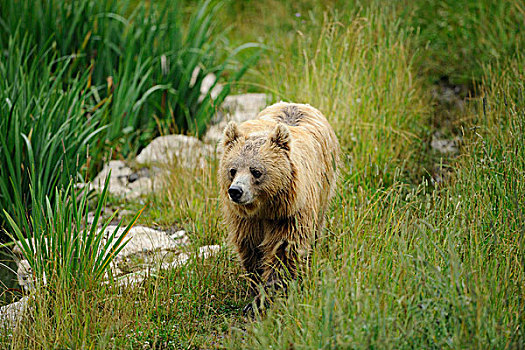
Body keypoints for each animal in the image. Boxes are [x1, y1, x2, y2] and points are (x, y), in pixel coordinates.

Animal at [218, 102, 338, 312]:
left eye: (256, 171)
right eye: (232, 170)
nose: (235, 191)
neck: (265, 207)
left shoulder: (290, 214)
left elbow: (283, 249)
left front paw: (266, 296)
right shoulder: (245, 220)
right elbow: (250, 247)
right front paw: (256, 285)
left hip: (324, 186)